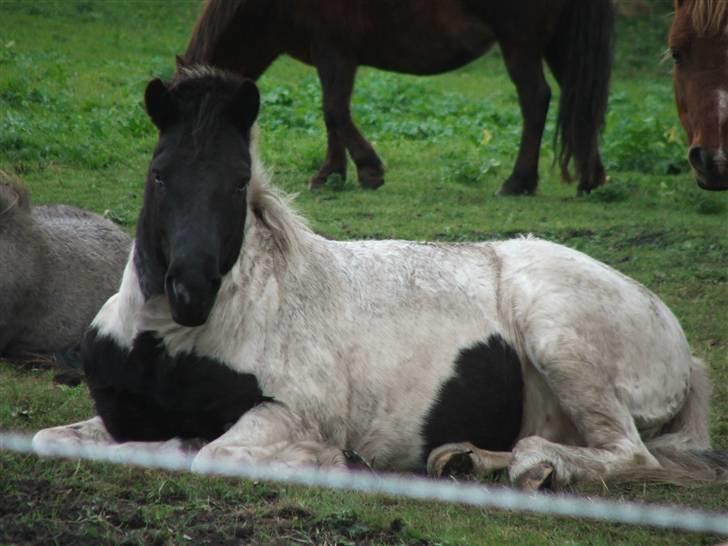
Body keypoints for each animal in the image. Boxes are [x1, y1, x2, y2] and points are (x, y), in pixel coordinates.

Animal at [34, 68, 728, 488]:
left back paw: (535, 467)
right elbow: (49, 439)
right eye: (159, 174)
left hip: (559, 335)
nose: (190, 291)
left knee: (627, 452)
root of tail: (680, 345)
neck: (167, 344)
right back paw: (471, 459)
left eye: (237, 181)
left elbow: (208, 451)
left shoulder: (290, 415)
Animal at [178, 0, 616, 196]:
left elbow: (334, 110)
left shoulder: (334, 52)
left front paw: (368, 170)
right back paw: (591, 179)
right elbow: (331, 114)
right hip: (558, 43)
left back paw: (519, 181)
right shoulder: (329, 56)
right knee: (582, 105)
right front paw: (331, 173)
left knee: (536, 100)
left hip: (520, 45)